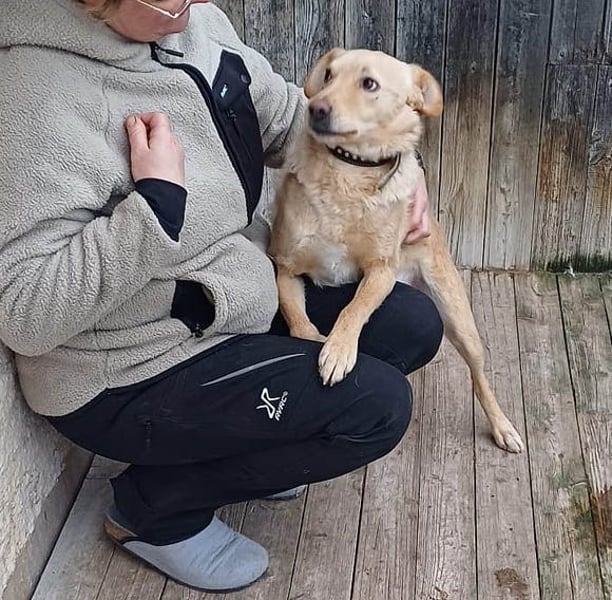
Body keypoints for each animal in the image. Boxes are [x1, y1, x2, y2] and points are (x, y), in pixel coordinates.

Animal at [268, 49, 523, 453]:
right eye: (328, 75)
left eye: (369, 83)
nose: (316, 108)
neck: (348, 173)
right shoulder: (286, 270)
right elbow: (298, 321)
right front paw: (322, 344)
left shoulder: (381, 272)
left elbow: (354, 308)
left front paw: (339, 348)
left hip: (459, 319)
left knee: (480, 376)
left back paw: (503, 427)